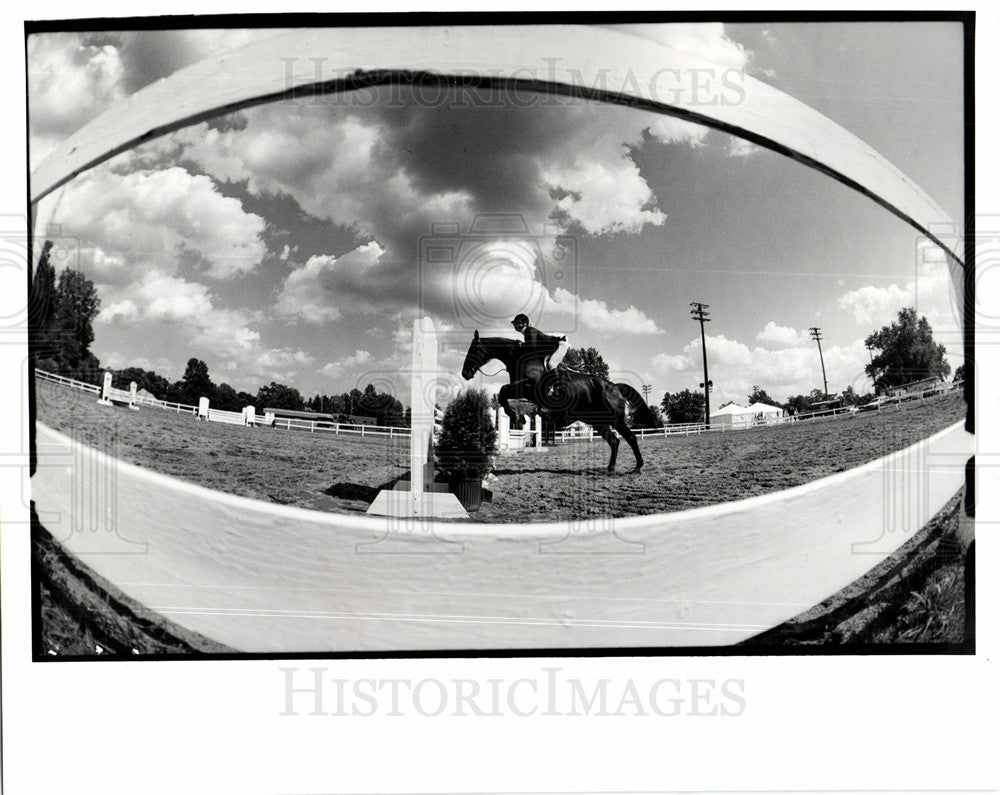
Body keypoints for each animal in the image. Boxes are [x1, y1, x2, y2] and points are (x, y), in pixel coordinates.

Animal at [460, 332, 656, 472]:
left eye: (473, 350)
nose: (465, 373)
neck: (518, 357)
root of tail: (614, 387)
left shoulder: (529, 387)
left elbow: (502, 392)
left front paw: (516, 417)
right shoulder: (524, 391)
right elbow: (503, 394)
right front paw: (518, 416)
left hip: (617, 420)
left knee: (630, 437)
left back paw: (638, 466)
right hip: (598, 421)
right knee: (614, 441)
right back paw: (610, 467)